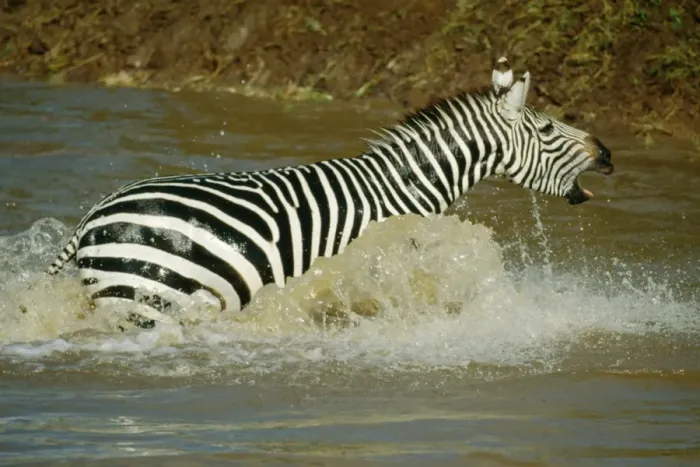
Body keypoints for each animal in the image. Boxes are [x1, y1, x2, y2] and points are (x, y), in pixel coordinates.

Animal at [46, 57, 614, 328]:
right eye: (547, 129)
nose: (607, 153)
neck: (397, 190)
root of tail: (92, 216)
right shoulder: (377, 267)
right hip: (144, 299)